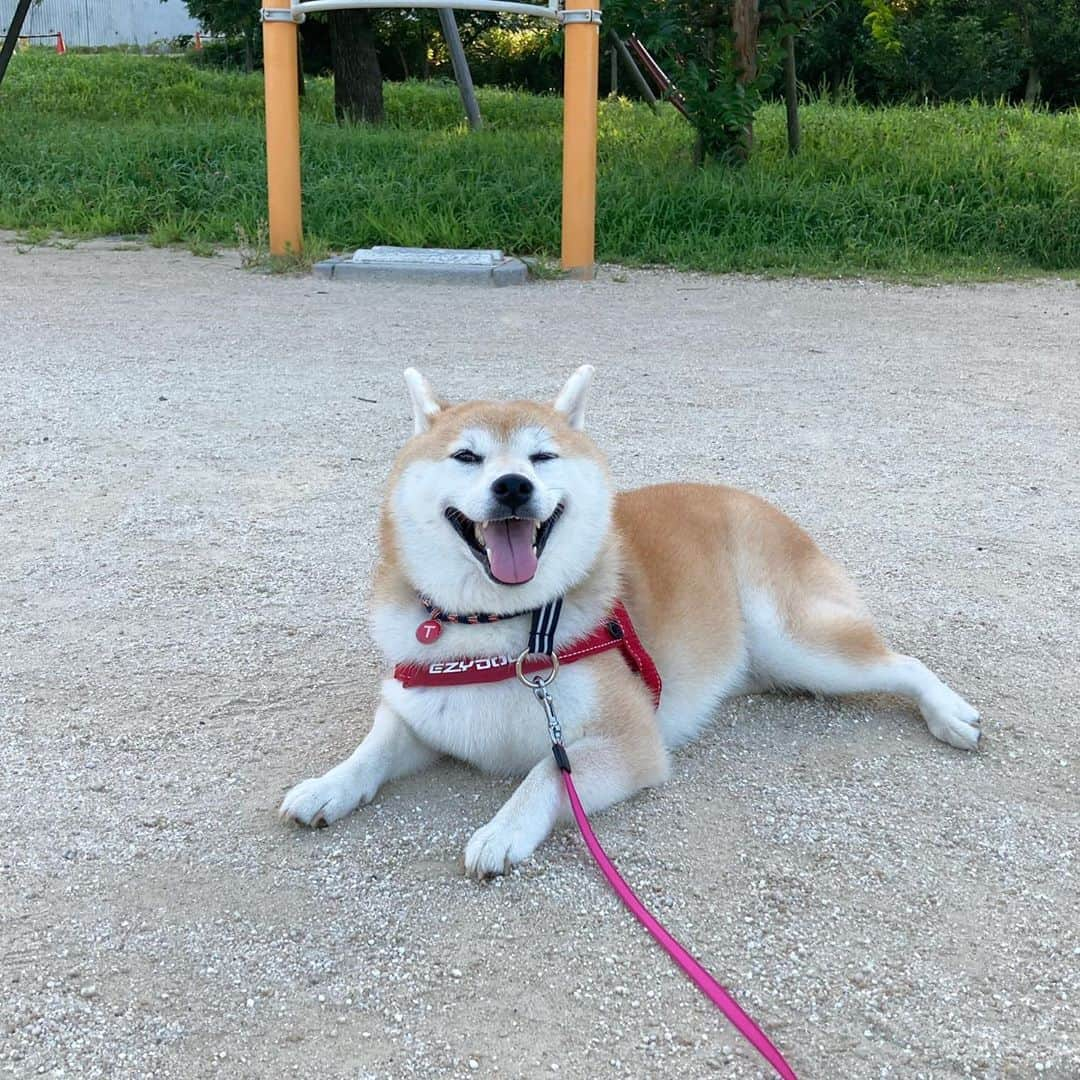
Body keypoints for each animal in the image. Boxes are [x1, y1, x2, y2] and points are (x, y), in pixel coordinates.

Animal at [280, 369, 980, 876]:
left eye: (541, 456)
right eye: (466, 456)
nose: (512, 486)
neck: (503, 628)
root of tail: (759, 503)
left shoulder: (629, 743)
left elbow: (543, 777)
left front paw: (504, 830)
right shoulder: (417, 709)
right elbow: (371, 751)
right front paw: (326, 787)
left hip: (799, 643)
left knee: (903, 663)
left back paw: (951, 715)